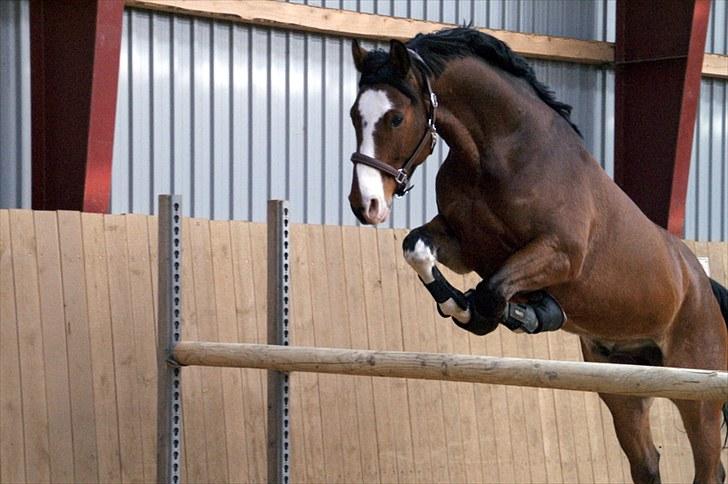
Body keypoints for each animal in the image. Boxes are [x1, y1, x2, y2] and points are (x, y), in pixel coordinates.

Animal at [346, 28, 728, 482]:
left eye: (395, 118)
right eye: (354, 115)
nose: (365, 205)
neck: (497, 153)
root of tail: (701, 284)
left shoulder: (561, 254)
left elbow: (492, 292)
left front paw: (513, 313)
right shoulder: (463, 245)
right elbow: (417, 249)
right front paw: (467, 307)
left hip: (698, 394)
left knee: (708, 466)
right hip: (625, 386)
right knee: (647, 462)